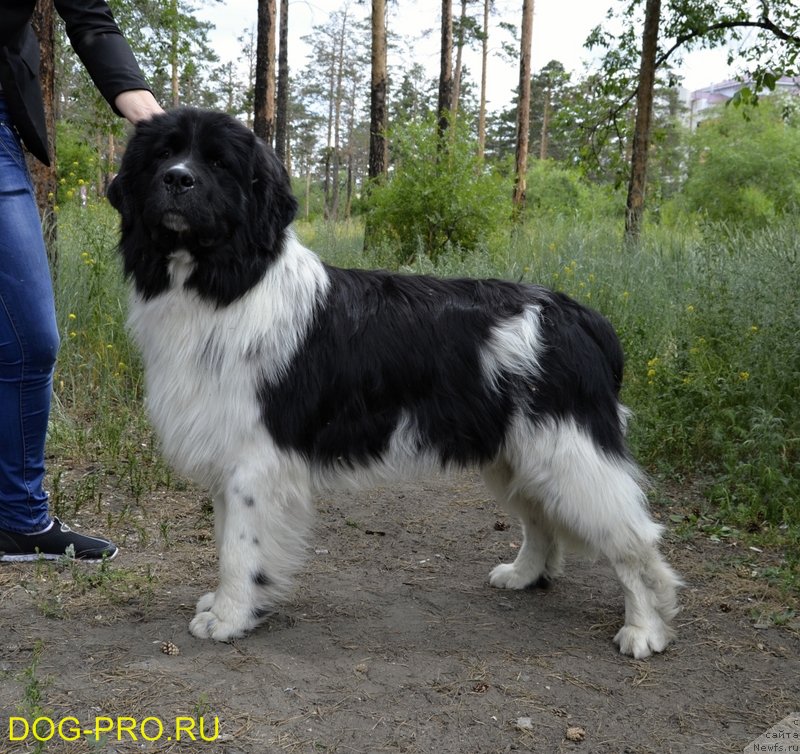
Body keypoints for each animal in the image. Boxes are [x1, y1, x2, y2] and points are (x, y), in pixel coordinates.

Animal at [108, 108, 680, 656]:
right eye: (163, 155)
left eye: (219, 163)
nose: (177, 179)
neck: (223, 285)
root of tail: (581, 315)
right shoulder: (230, 454)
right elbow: (228, 537)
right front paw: (232, 604)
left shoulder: (254, 460)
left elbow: (238, 549)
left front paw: (229, 617)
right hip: (516, 453)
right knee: (540, 519)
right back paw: (524, 574)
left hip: (571, 455)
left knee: (635, 541)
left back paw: (644, 629)